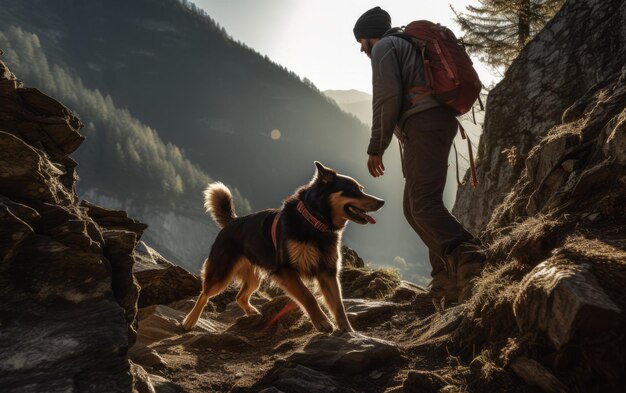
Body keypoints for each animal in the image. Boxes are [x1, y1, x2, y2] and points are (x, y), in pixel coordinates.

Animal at [183, 161, 382, 332]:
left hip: (254, 277)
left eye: (361, 189)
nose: (382, 202)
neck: (314, 222)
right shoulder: (285, 270)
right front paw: (323, 323)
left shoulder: (327, 271)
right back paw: (190, 321)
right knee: (204, 294)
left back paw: (252, 313)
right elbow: (309, 297)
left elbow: (339, 305)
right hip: (222, 272)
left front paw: (349, 331)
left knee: (240, 297)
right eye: (353, 190)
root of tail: (232, 221)